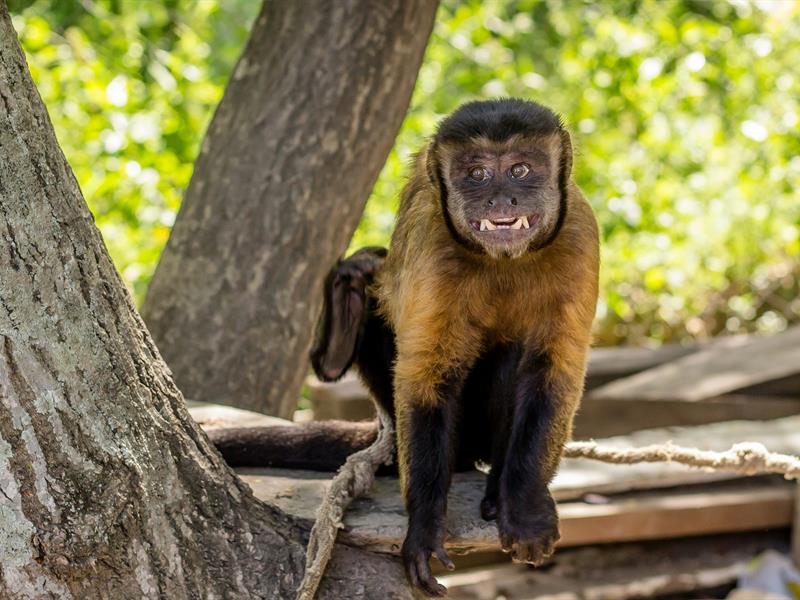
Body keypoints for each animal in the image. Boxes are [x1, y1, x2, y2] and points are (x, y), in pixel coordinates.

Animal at [209, 98, 596, 596]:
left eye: (521, 169)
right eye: (477, 174)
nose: (500, 199)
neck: (503, 259)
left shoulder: (580, 235)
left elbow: (555, 373)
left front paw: (525, 506)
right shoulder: (433, 243)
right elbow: (424, 380)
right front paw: (426, 525)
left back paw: (499, 488)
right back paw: (344, 319)